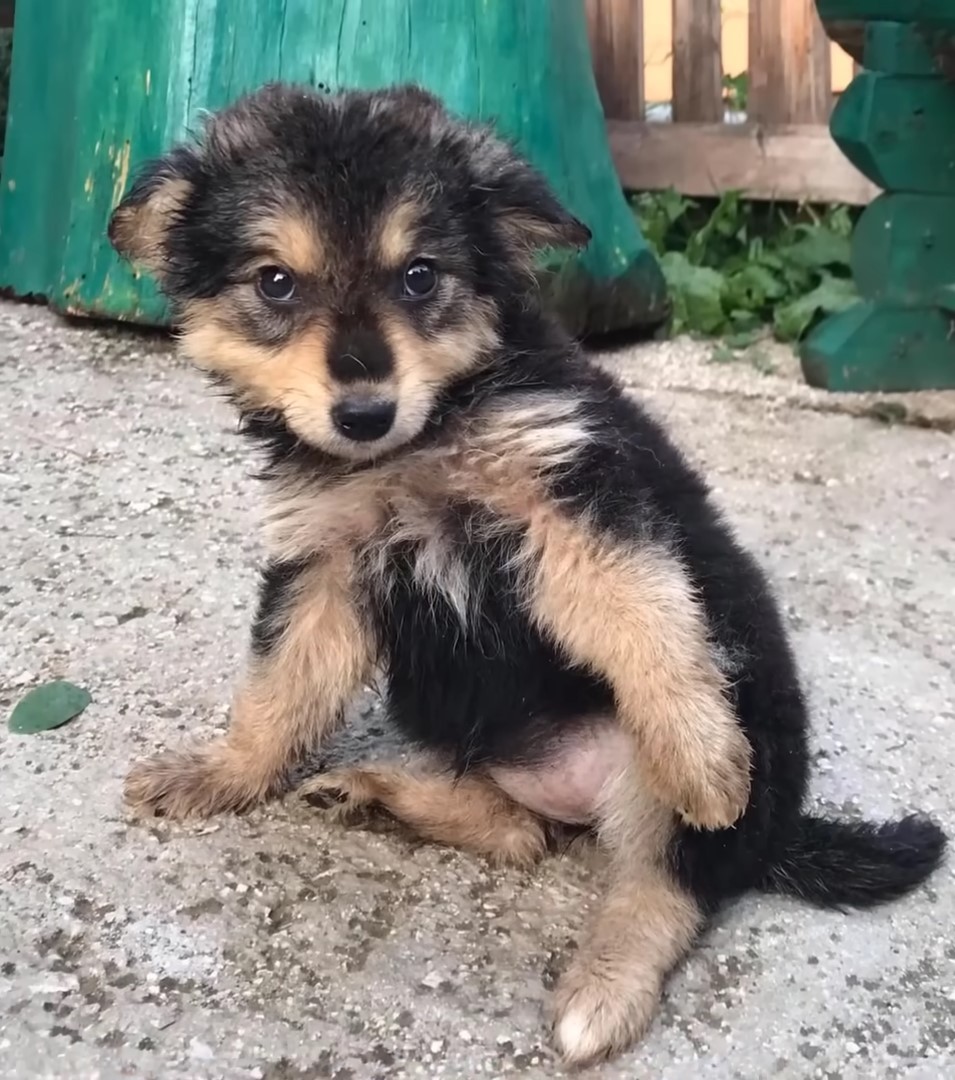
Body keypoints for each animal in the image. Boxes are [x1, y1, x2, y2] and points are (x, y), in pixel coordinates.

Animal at [108, 84, 942, 1062]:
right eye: (275, 282)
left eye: (419, 275)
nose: (364, 413)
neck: (420, 444)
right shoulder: (324, 564)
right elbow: (279, 689)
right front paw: (224, 774)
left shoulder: (573, 506)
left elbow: (644, 618)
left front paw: (703, 758)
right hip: (441, 705)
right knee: (519, 834)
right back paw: (378, 792)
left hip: (709, 746)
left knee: (666, 883)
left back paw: (603, 988)